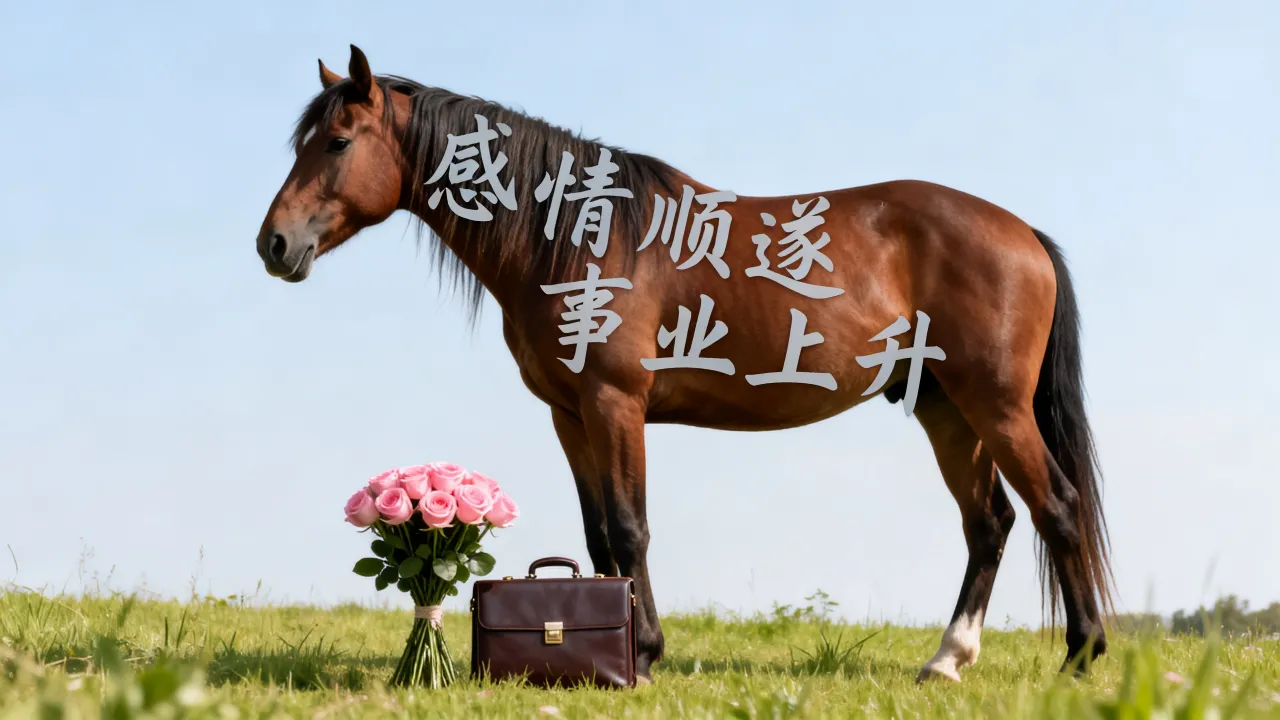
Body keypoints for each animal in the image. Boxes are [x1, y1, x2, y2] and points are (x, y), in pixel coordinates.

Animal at [256, 45, 1114, 684]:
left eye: (337, 142)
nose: (274, 244)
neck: (578, 238)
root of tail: (1023, 233)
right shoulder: (569, 414)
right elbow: (599, 536)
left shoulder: (615, 404)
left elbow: (630, 528)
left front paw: (648, 653)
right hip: (945, 408)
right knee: (990, 523)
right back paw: (946, 661)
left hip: (994, 405)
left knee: (1057, 507)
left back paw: (1081, 656)